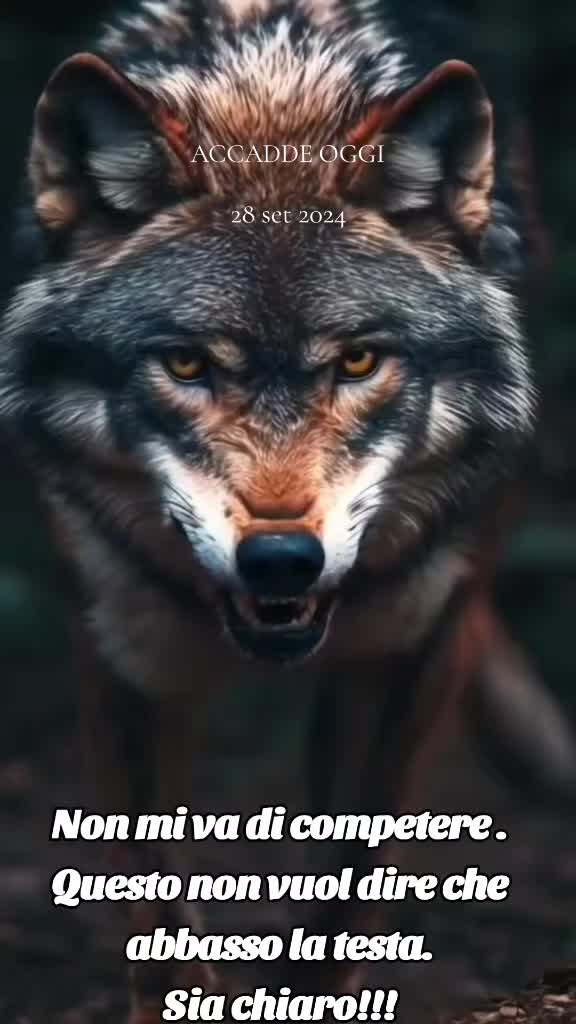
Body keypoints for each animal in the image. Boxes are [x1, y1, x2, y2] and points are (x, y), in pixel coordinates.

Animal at [1, 0, 575, 1019]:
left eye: (359, 361)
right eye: (186, 363)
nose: (280, 561)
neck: (272, 95)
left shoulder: (411, 646)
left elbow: (348, 888)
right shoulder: (124, 653)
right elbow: (159, 917)